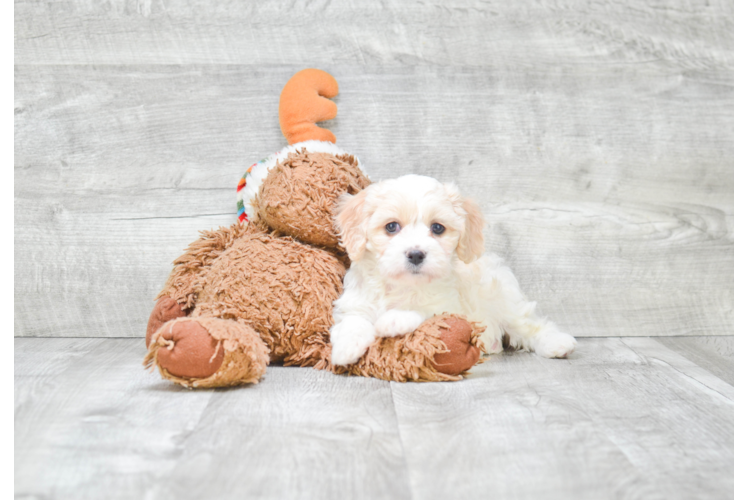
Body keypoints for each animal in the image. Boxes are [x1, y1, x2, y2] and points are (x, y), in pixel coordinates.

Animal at [328, 174, 580, 366]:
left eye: (438, 228)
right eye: (391, 227)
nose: (416, 254)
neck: (402, 285)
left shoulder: (450, 308)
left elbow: (425, 311)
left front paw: (394, 320)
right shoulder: (355, 302)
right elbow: (353, 320)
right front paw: (346, 347)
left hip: (506, 301)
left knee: (530, 325)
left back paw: (557, 343)